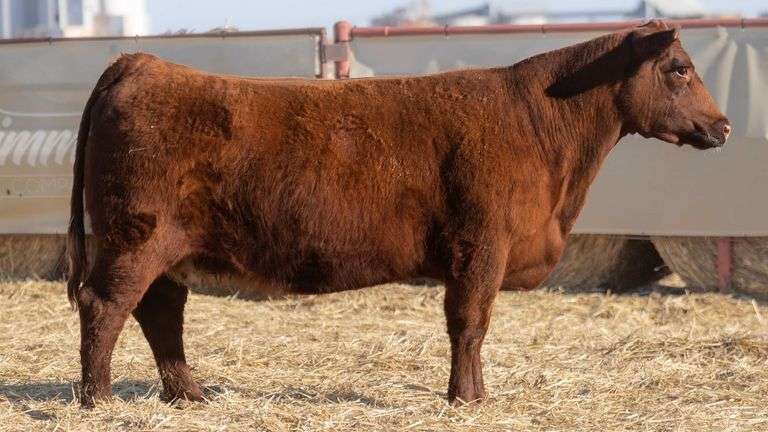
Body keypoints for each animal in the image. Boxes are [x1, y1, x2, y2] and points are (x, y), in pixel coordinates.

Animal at [67, 21, 730, 407]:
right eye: (679, 69)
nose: (723, 126)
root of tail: (142, 63)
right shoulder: (480, 247)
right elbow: (470, 324)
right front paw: (468, 399)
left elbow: (471, 327)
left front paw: (473, 395)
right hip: (136, 239)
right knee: (105, 305)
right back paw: (98, 399)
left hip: (166, 249)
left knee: (160, 313)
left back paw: (190, 395)